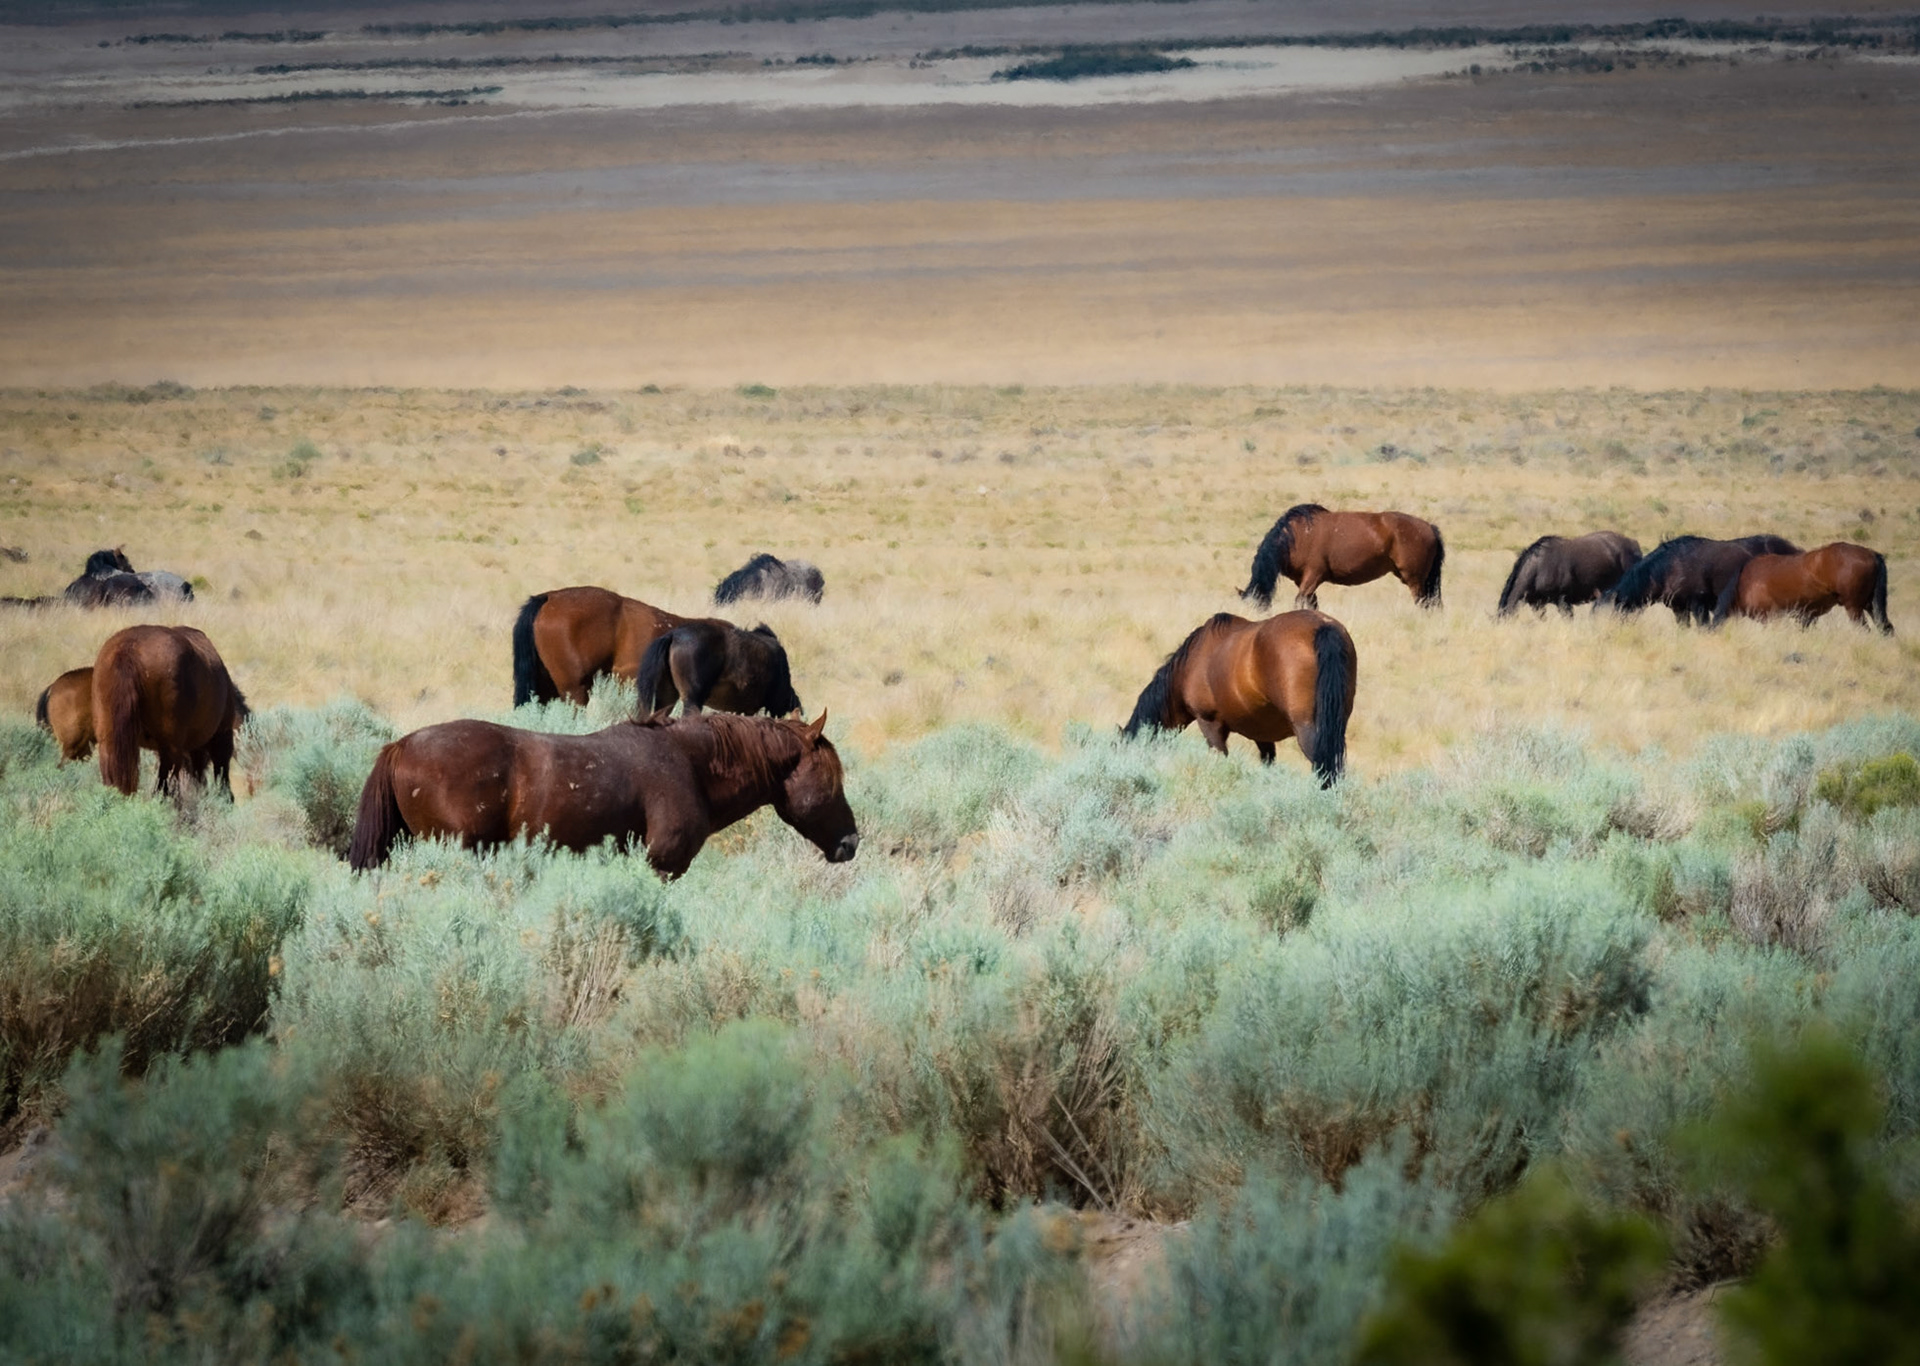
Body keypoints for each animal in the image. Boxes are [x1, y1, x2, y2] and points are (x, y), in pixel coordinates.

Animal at [1241, 505, 1444, 611]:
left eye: (1258, 605)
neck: (1296, 537)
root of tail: (1430, 527)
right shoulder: (1304, 581)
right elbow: (1311, 603)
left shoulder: (1313, 576)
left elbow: (1300, 601)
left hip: (1415, 580)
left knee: (1423, 603)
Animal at [1713, 543, 1892, 633]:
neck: (1745, 581)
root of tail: (1872, 554)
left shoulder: (1769, 617)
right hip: (1871, 606)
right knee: (1886, 628)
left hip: (1854, 608)